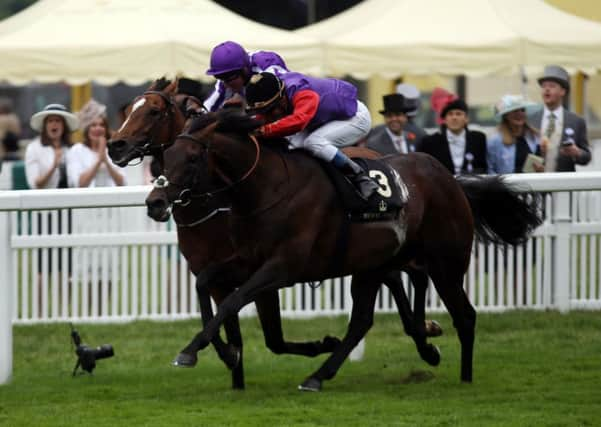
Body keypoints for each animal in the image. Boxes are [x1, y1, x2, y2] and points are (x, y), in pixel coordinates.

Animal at [108, 79, 438, 392]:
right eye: (128, 109)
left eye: (153, 111)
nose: (115, 146)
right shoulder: (216, 270)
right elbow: (215, 310)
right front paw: (231, 362)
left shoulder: (263, 271)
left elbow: (266, 335)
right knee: (396, 279)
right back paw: (423, 336)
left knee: (410, 275)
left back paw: (424, 336)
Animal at [146, 112, 544, 392]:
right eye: (166, 156)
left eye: (193, 157)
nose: (155, 202)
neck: (266, 189)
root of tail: (449, 177)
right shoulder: (245, 260)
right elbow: (205, 283)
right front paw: (223, 351)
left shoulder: (282, 268)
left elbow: (231, 301)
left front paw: (192, 351)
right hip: (375, 265)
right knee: (363, 320)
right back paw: (320, 375)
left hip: (446, 263)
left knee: (465, 316)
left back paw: (464, 376)